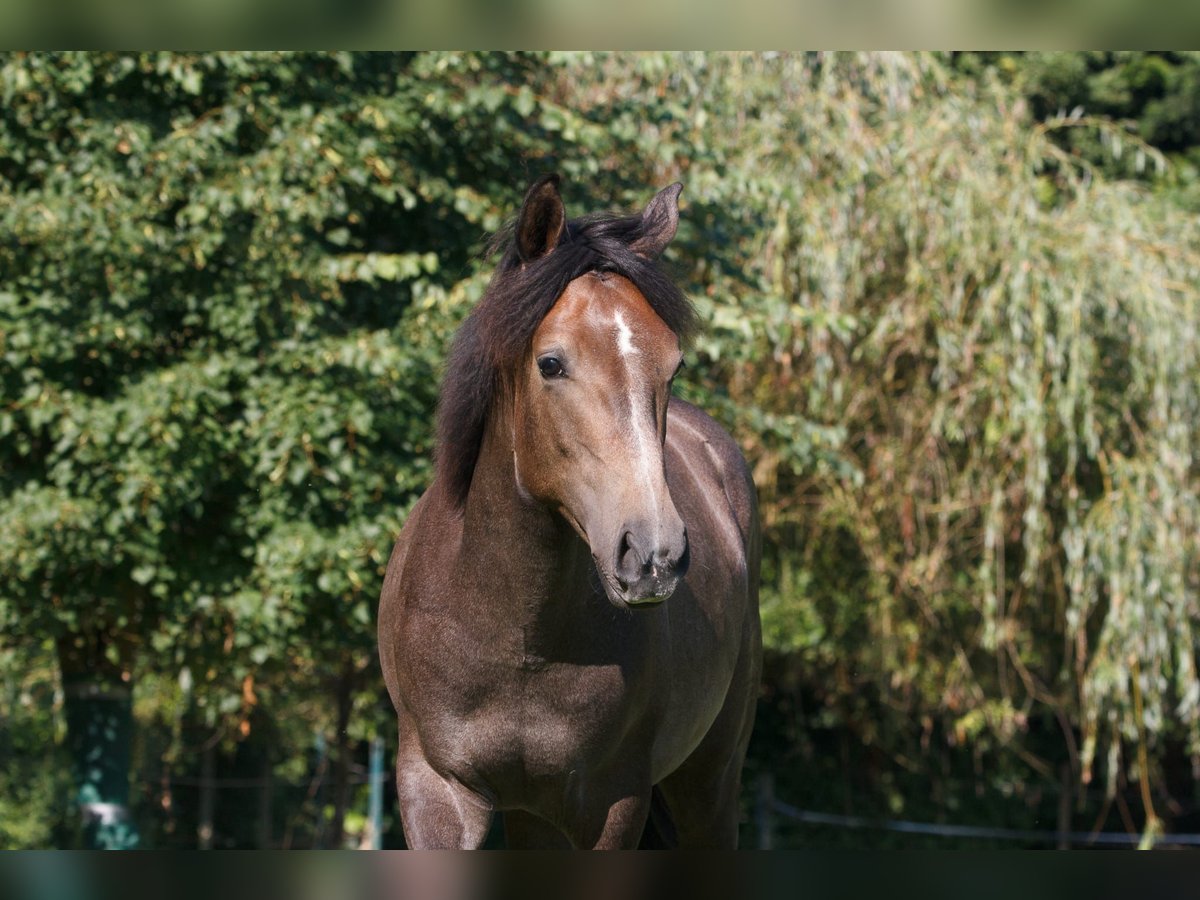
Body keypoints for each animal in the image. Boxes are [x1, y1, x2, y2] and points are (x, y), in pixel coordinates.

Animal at [377, 174, 762, 848]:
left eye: (674, 365)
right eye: (550, 363)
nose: (654, 555)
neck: (513, 630)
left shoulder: (614, 800)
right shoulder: (434, 789)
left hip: (710, 779)